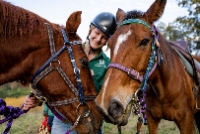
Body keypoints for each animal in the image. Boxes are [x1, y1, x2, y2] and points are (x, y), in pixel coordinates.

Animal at [95, 0, 200, 134]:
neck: (163, 90)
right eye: (110, 44)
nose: (105, 105)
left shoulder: (186, 120)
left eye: (145, 41)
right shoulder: (151, 120)